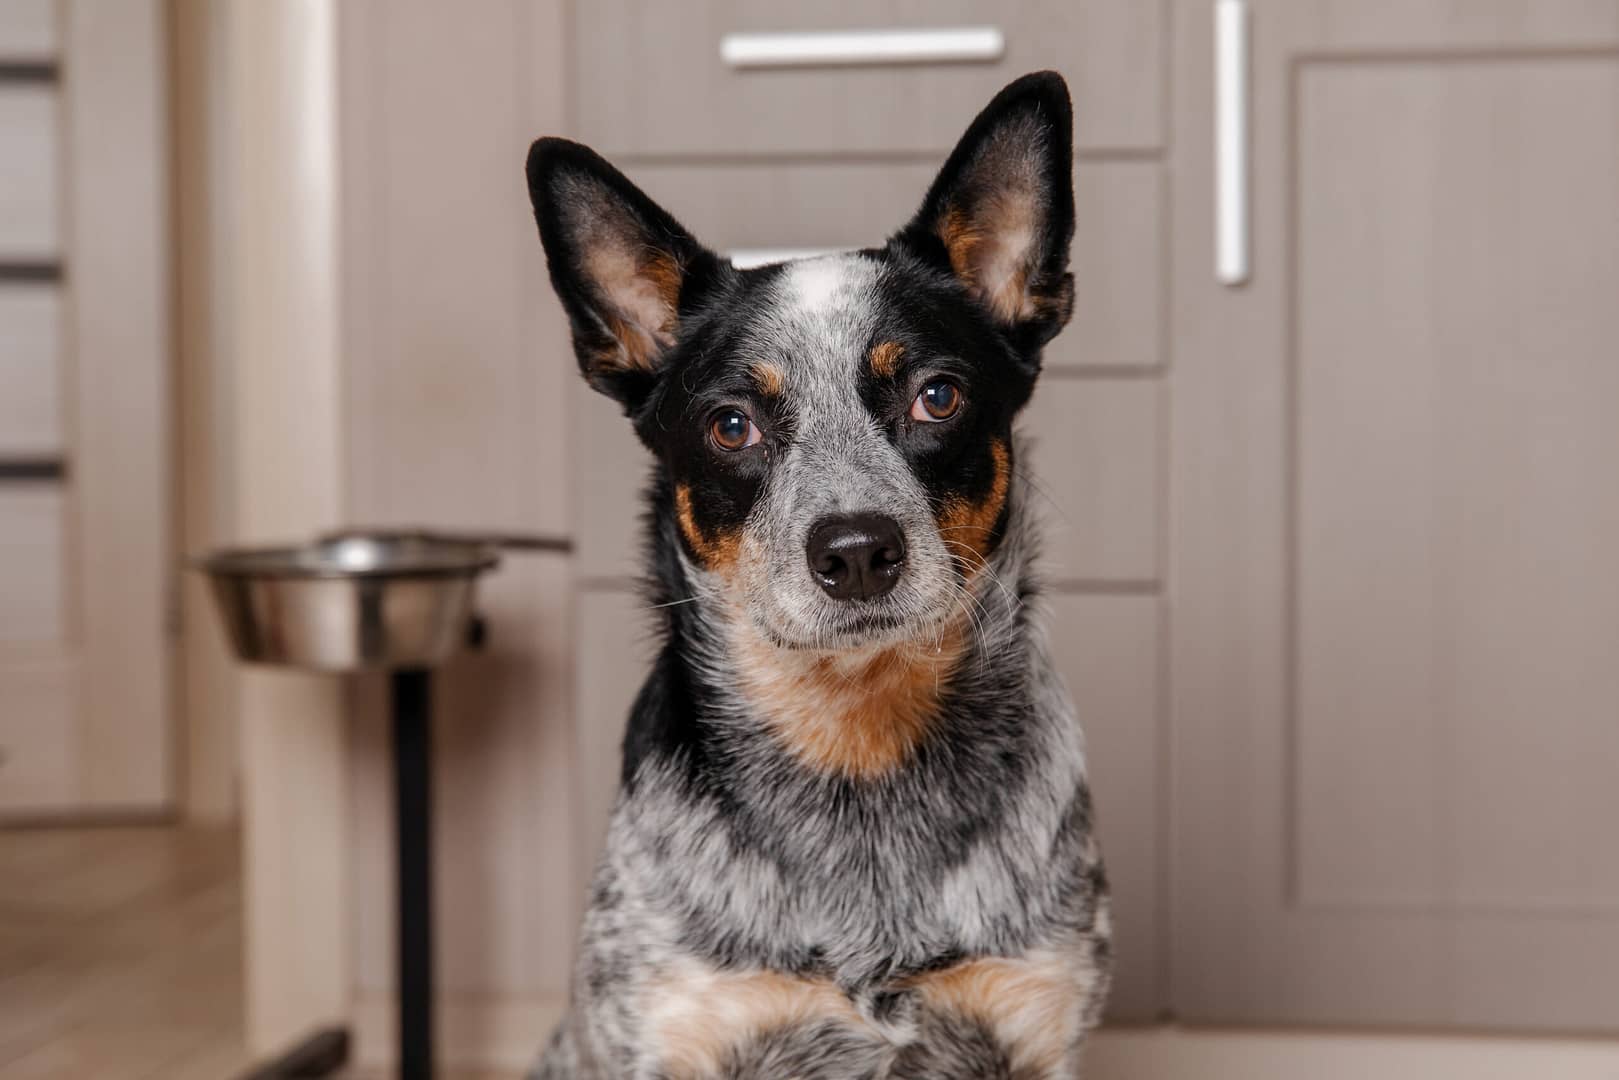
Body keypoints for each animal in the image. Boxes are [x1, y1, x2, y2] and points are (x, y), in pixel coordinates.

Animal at [524, 71, 1107, 1075]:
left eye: (937, 395)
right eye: (731, 424)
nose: (857, 551)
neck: (856, 751)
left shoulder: (1034, 1022)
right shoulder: (677, 1027)